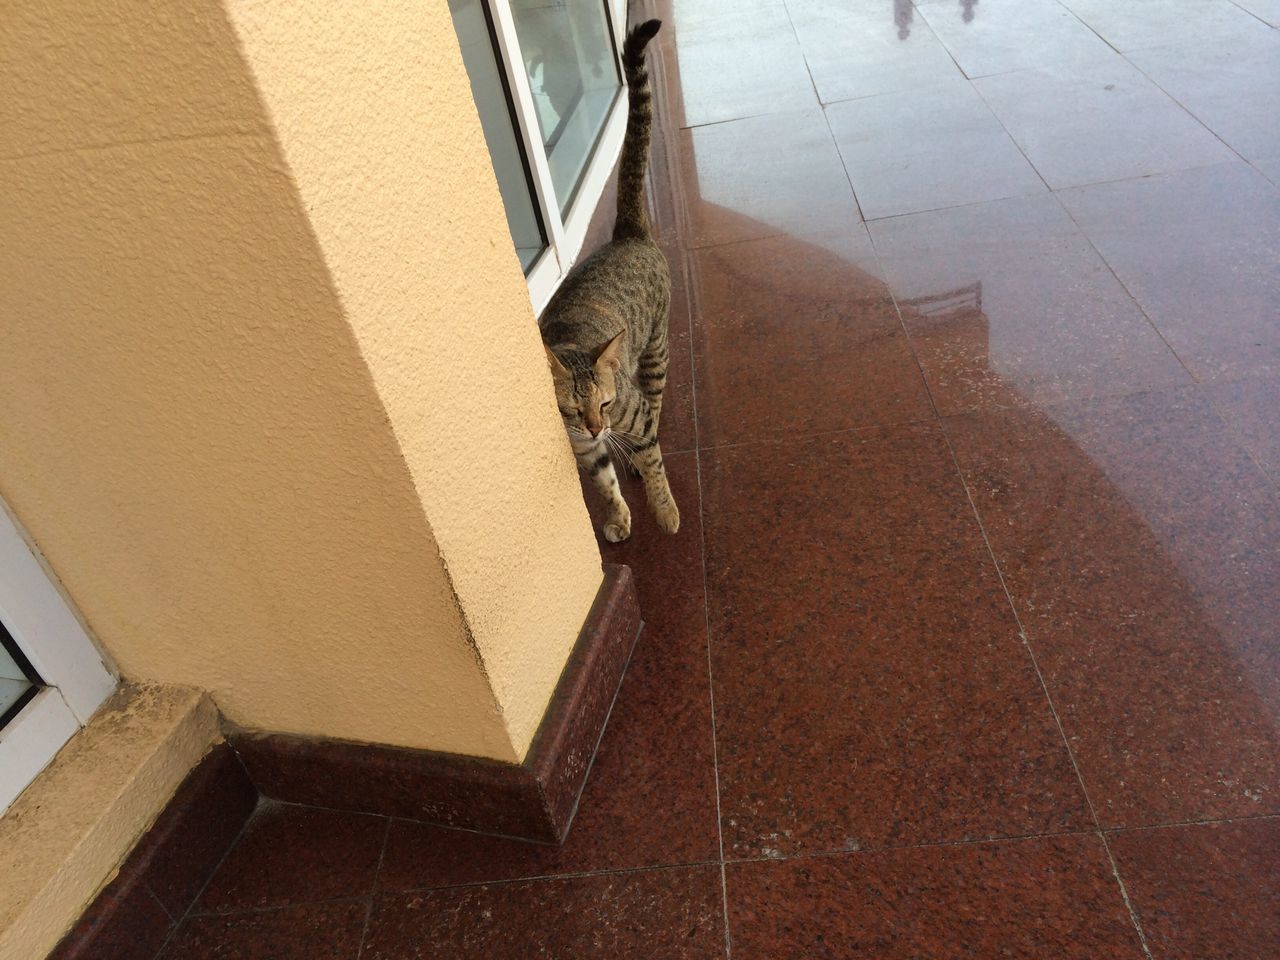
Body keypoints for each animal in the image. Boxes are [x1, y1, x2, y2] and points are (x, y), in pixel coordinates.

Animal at [535, 16, 675, 542]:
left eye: (608, 404)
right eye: (574, 411)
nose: (598, 427)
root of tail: (627, 232)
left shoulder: (630, 414)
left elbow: (654, 462)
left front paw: (665, 512)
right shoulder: (583, 450)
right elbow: (603, 483)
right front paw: (618, 517)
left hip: (656, 351)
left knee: (655, 406)